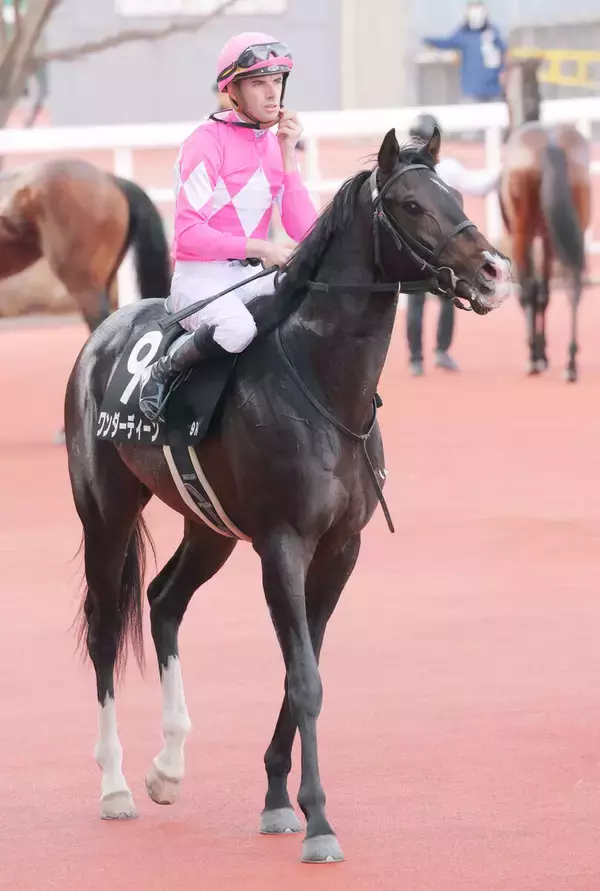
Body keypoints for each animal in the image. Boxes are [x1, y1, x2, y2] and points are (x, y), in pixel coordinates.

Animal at [64, 127, 512, 864]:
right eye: (413, 205)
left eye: (454, 191)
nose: (495, 271)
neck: (325, 387)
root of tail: (102, 336)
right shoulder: (283, 546)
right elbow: (304, 678)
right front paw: (319, 821)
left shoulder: (339, 550)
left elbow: (302, 667)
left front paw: (278, 798)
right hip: (106, 511)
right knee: (105, 630)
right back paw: (115, 785)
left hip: (209, 529)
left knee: (163, 601)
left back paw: (168, 768)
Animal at [499, 57, 591, 381]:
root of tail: (550, 143)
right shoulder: (549, 239)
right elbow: (546, 292)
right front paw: (545, 350)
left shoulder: (522, 237)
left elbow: (531, 290)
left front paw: (536, 352)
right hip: (574, 227)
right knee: (574, 283)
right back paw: (572, 361)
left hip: (522, 233)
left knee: (529, 289)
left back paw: (537, 358)